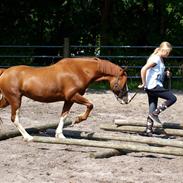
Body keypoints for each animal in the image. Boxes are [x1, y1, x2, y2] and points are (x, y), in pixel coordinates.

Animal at [0, 58, 129, 141]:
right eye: (123, 83)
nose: (126, 100)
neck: (79, 70)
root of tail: (5, 71)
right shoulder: (73, 96)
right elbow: (90, 105)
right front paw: (77, 120)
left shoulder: (69, 100)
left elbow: (64, 115)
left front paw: (60, 135)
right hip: (15, 100)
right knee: (15, 119)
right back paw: (28, 137)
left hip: (8, 100)